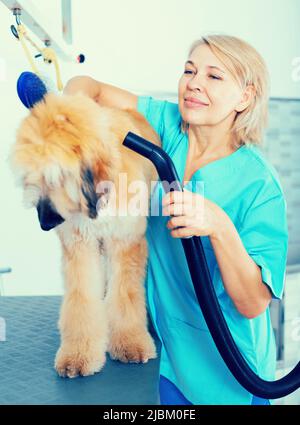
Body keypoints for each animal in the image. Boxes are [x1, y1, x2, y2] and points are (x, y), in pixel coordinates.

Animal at [11, 92, 162, 374]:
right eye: (30, 177)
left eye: (56, 176)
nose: (45, 223)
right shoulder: (80, 246)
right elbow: (81, 298)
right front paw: (78, 354)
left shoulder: (125, 242)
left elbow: (125, 295)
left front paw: (130, 342)